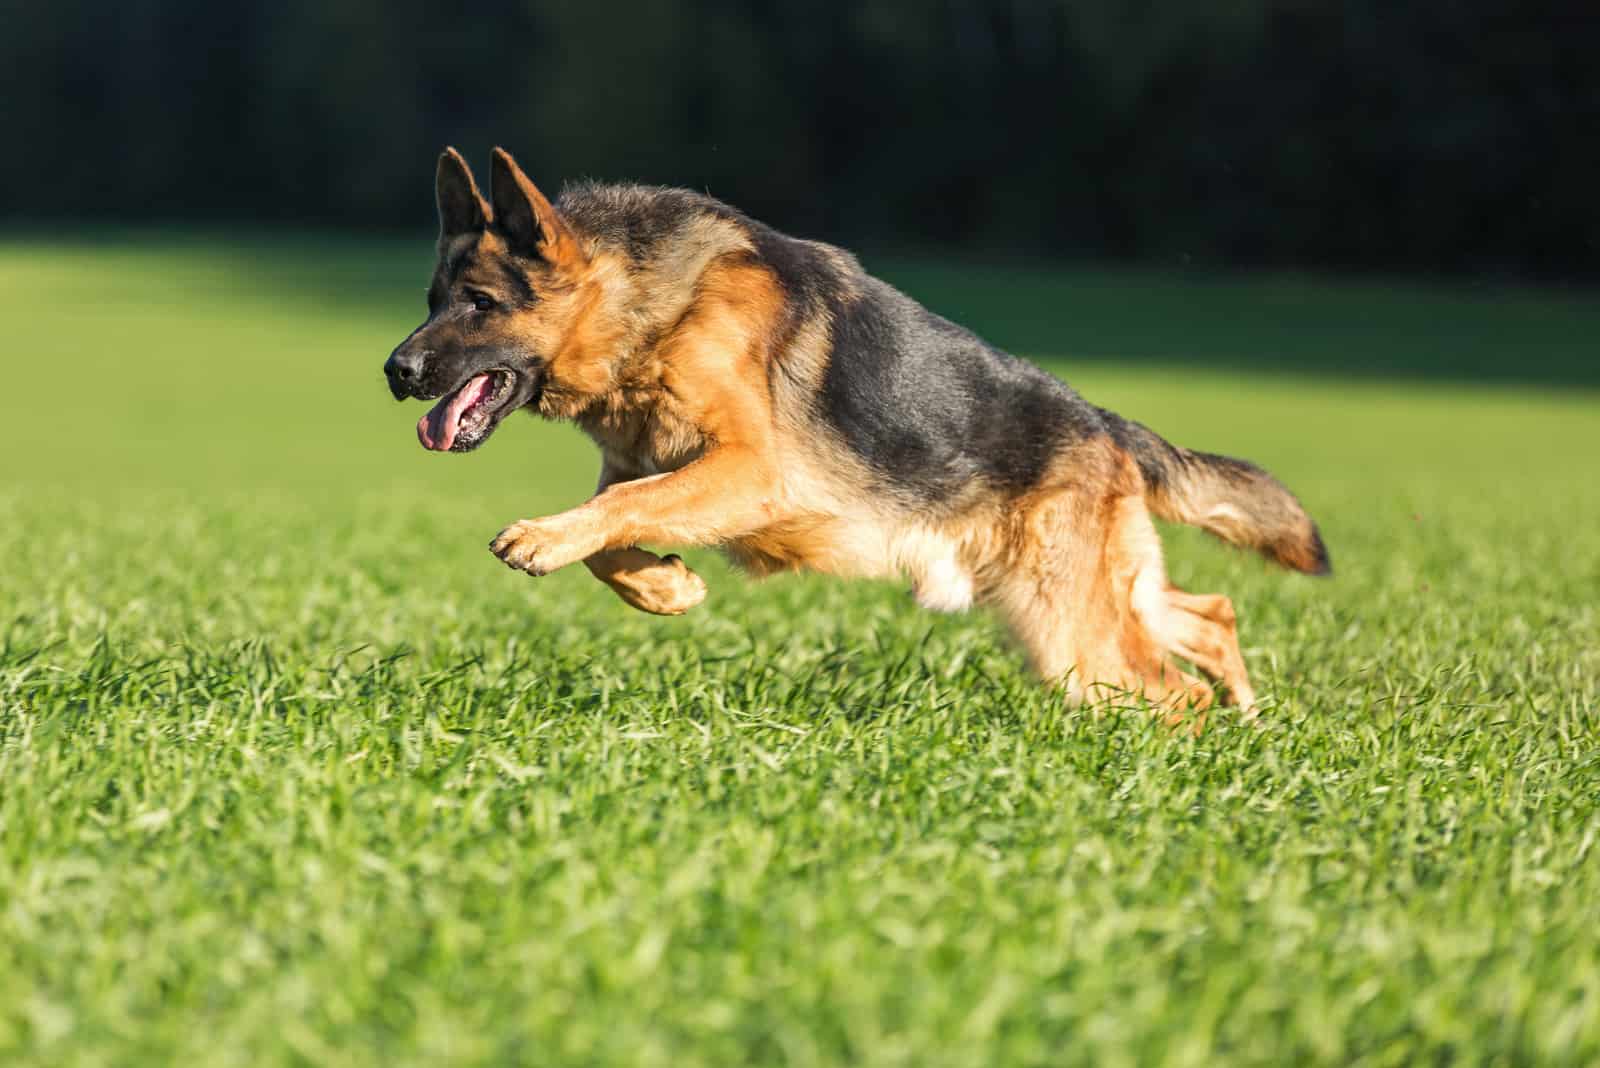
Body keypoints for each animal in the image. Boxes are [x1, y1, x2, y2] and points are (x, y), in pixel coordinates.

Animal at [384, 147, 1324, 716]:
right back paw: (1251, 724)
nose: (395, 371)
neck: (648, 304)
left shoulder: (747, 470)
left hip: (1071, 637)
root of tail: (1101, 423)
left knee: (1176, 692)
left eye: (480, 305)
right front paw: (667, 589)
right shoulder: (642, 473)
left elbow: (616, 516)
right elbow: (615, 533)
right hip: (1087, 600)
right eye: (432, 301)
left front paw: (545, 541)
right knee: (1211, 615)